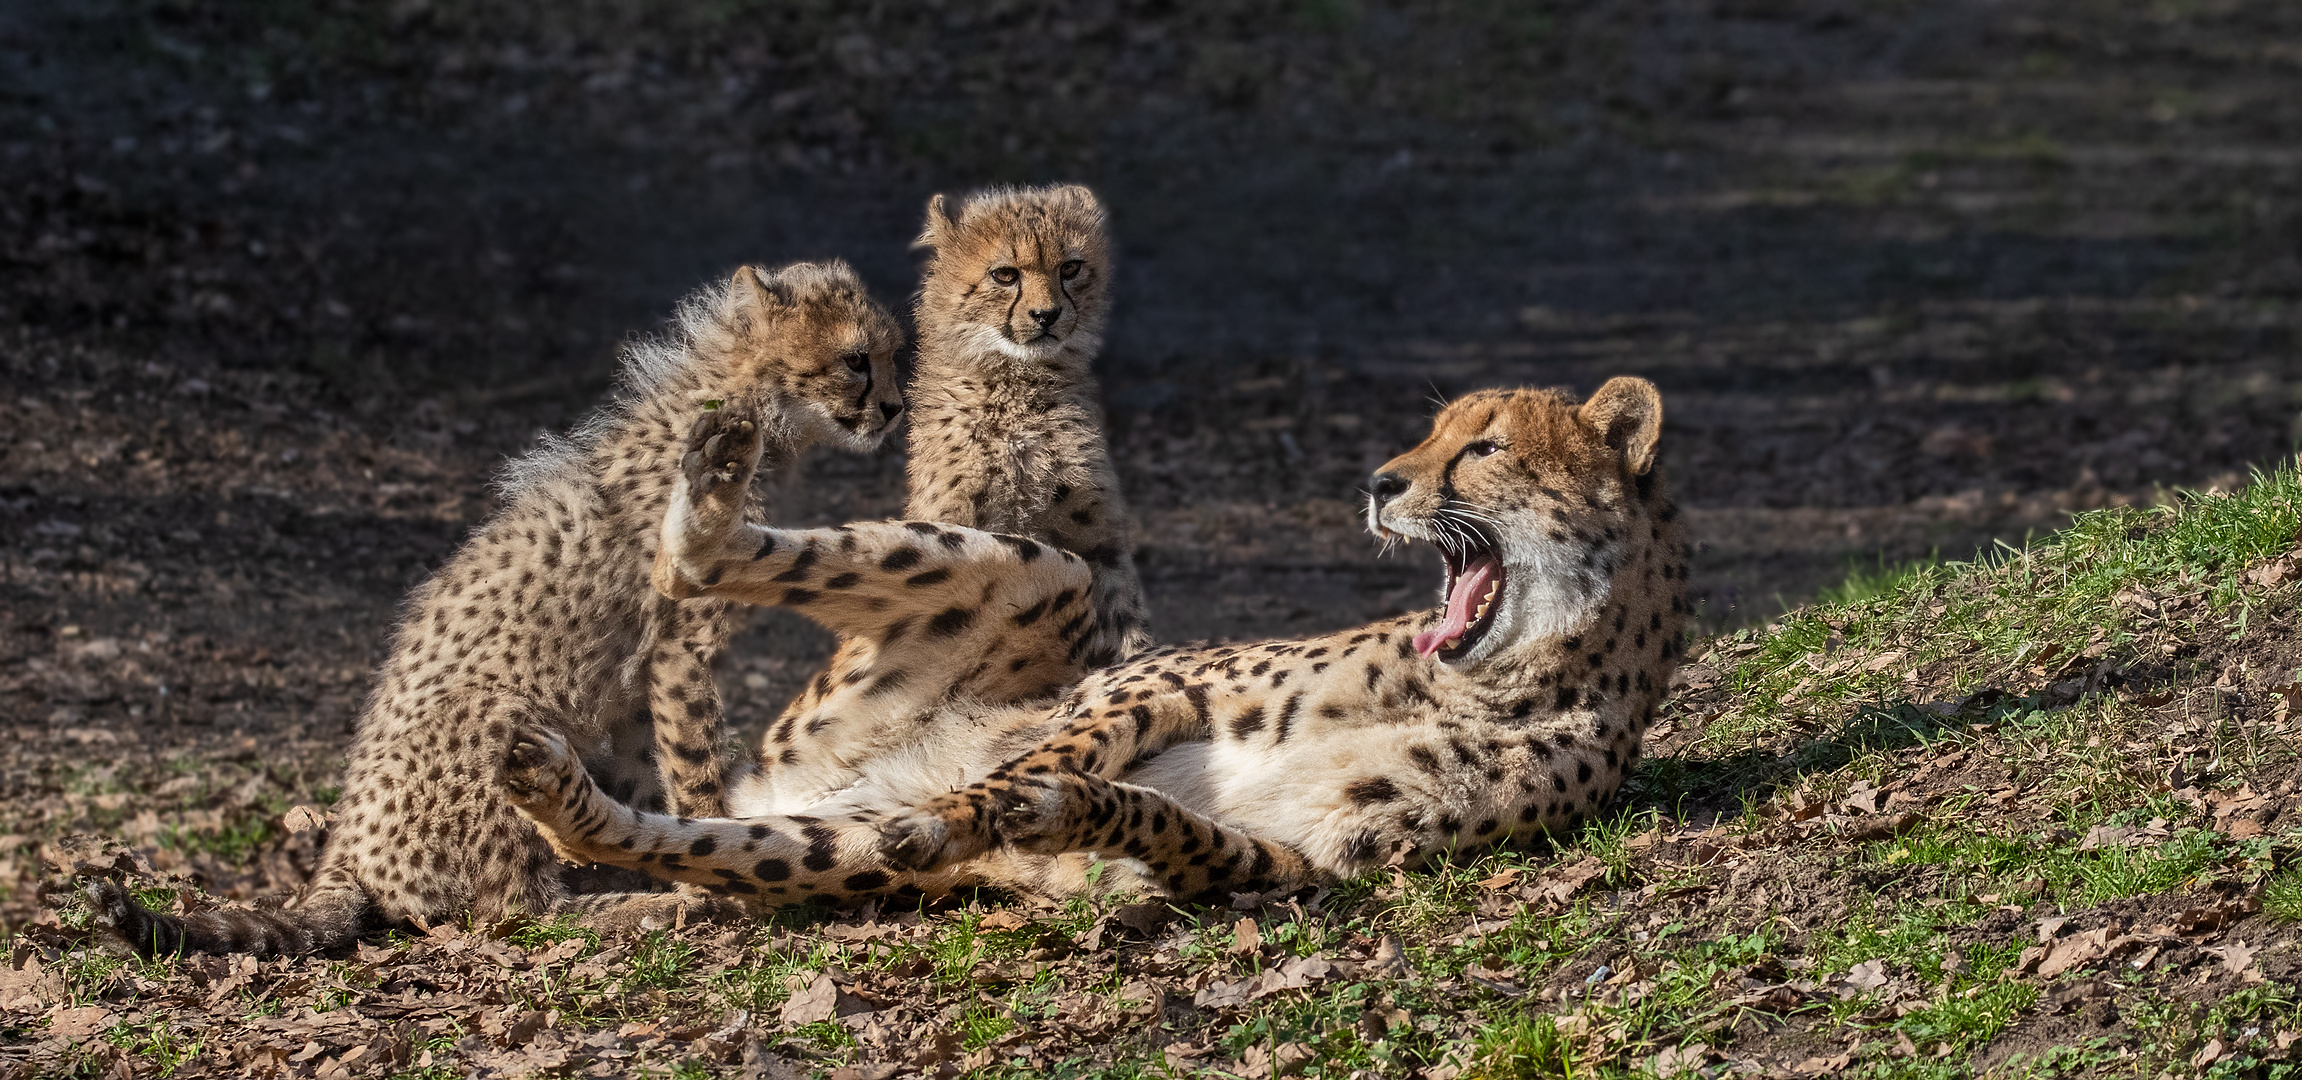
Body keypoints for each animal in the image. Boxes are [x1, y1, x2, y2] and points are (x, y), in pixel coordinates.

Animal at [94, 263, 911, 953]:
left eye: (891, 355)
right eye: (857, 359)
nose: (895, 408)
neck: (749, 406)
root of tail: (343, 847)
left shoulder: (637, 687)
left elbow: (649, 777)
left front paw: (670, 847)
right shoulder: (681, 648)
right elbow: (695, 769)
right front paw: (709, 872)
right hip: (497, 716)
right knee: (513, 911)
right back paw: (634, 910)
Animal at [508, 379, 1694, 902]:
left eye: (1483, 446)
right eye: (1434, 430)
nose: (1378, 482)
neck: (1496, 679)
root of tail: (788, 780)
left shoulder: (1306, 859)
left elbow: (1152, 819)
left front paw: (1054, 814)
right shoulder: (1143, 688)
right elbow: (1057, 751)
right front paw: (976, 808)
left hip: (814, 845)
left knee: (657, 846)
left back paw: (559, 794)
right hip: (1040, 570)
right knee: (694, 563)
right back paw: (714, 472)